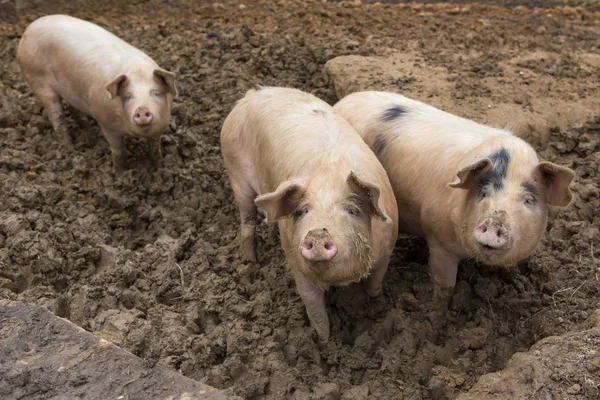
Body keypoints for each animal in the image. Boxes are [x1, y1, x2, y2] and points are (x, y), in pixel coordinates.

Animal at [15, 14, 176, 170]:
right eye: (128, 96)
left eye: (156, 93)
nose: (142, 109)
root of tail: (29, 28)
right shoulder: (106, 123)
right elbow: (119, 152)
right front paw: (120, 173)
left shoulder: (160, 127)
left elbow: (155, 150)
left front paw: (158, 168)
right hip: (37, 80)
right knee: (58, 118)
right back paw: (71, 150)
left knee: (74, 110)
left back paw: (89, 135)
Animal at [220, 86, 398, 342]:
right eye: (302, 212)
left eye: (352, 210)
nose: (318, 233)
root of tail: (251, 95)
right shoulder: (296, 261)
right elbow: (314, 309)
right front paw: (324, 342)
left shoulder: (387, 250)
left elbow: (374, 284)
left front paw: (376, 303)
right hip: (235, 171)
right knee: (247, 219)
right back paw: (249, 260)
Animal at [336, 91, 576, 310]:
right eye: (483, 193)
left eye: (528, 200)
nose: (493, 223)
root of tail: (344, 101)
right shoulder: (438, 236)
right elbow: (445, 285)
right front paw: (438, 311)